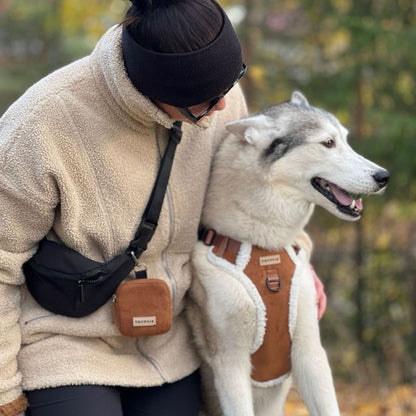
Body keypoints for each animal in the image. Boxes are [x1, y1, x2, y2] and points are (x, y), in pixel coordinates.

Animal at [188, 92, 390, 416]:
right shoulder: (230, 365)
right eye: (328, 143)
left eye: (345, 140)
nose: (384, 176)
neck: (263, 249)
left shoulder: (309, 352)